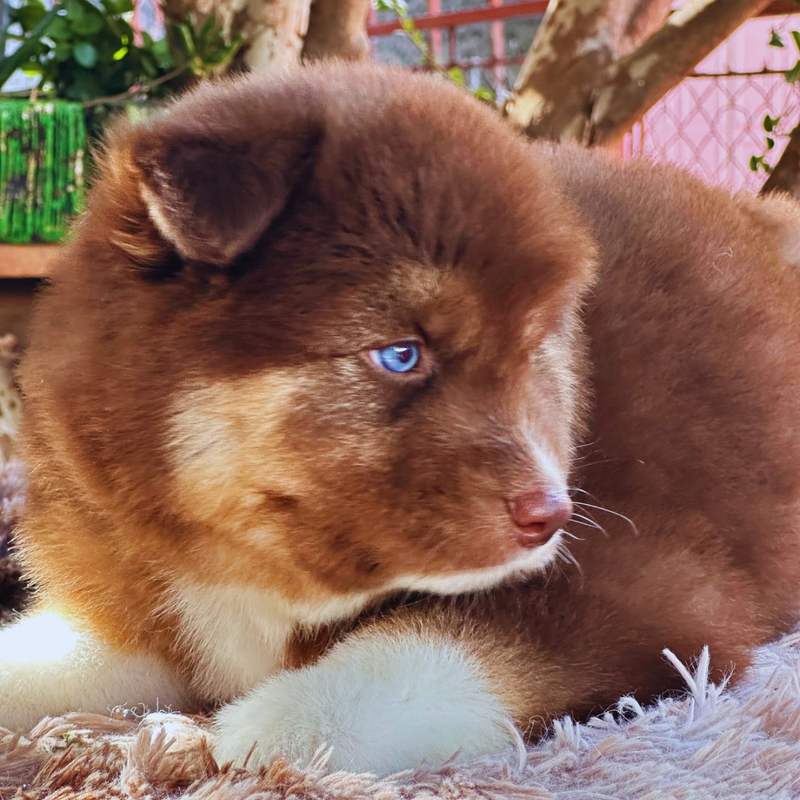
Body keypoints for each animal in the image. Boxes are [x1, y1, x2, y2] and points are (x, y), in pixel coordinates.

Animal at [1, 65, 800, 780]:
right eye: (400, 354)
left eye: (534, 351)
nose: (552, 516)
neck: (254, 558)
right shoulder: (141, 589)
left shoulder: (644, 587)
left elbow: (407, 664)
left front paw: (240, 733)